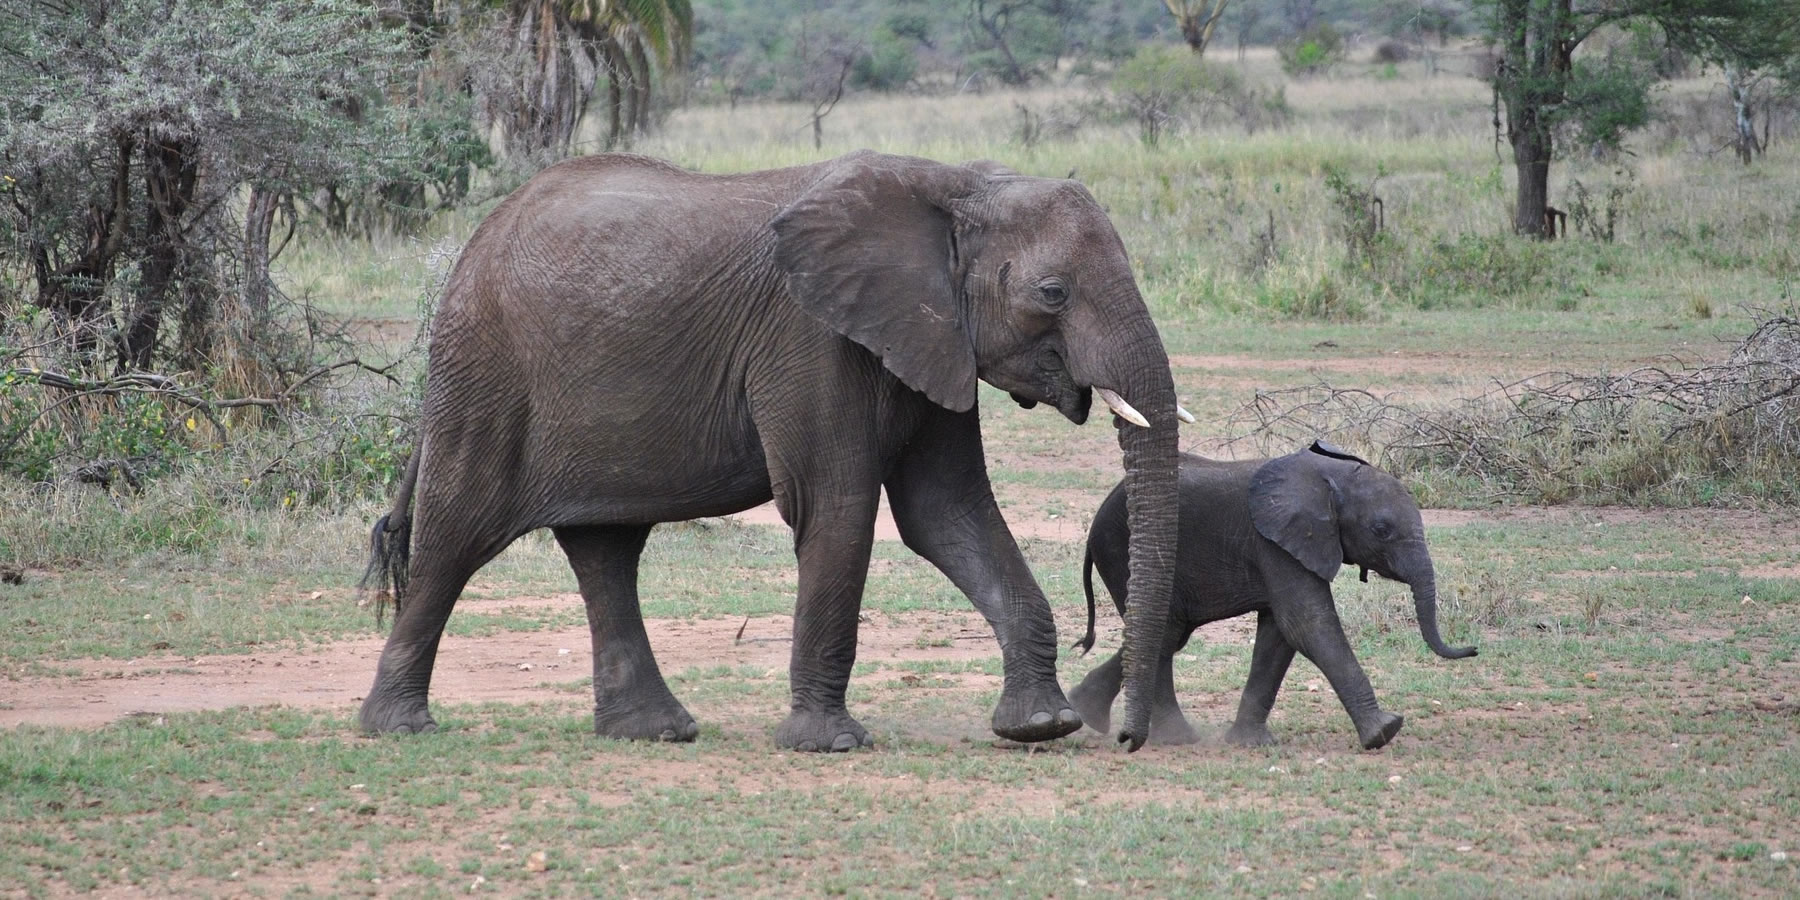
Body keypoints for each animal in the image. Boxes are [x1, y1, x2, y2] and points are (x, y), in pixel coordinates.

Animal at [357, 150, 1185, 752]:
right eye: (1052, 293)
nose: (1128, 741)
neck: (954, 183)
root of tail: (477, 241)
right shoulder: (813, 339)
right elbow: (838, 507)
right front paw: (829, 745)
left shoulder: (929, 339)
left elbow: (948, 513)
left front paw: (1040, 727)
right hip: (485, 369)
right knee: (455, 537)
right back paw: (398, 729)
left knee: (606, 549)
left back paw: (654, 732)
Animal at [1068, 442, 1477, 750]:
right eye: (1381, 530)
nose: (1473, 649)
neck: (1329, 476)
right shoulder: (1273, 542)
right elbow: (1306, 625)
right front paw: (1385, 731)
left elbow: (1279, 635)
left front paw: (1250, 743)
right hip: (1119, 550)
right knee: (1165, 632)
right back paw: (1164, 735)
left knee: (1168, 634)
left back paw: (1093, 714)